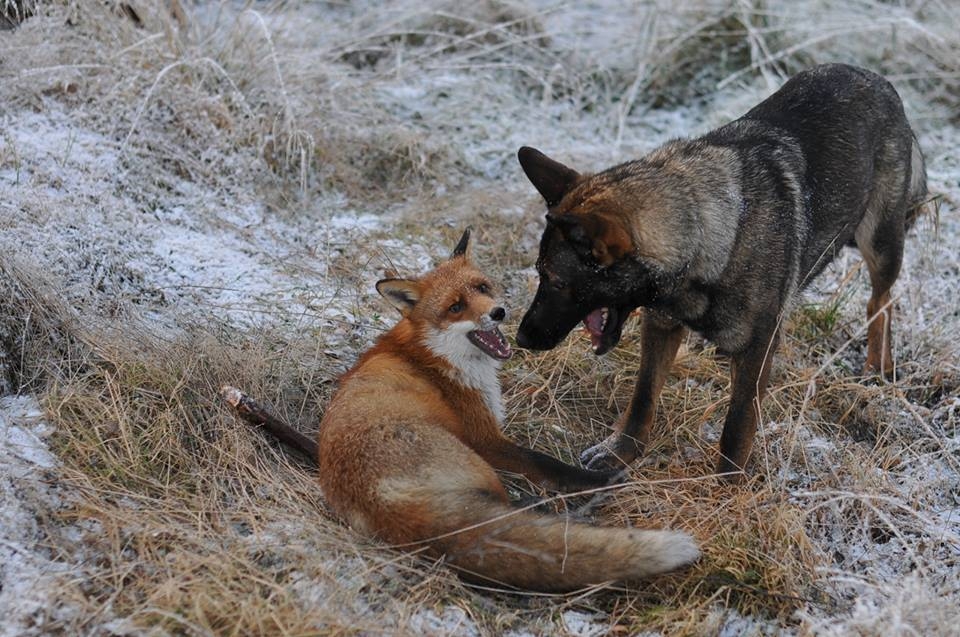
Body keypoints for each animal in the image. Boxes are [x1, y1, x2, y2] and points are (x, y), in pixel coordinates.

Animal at [308, 229, 696, 592]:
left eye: (482, 287)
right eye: (455, 307)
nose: (498, 312)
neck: (433, 356)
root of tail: (383, 504)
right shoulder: (486, 438)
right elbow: (546, 463)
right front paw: (601, 479)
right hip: (479, 464)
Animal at [512, 66, 928, 482]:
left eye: (557, 282)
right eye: (539, 274)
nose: (521, 338)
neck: (706, 236)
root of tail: (873, 76)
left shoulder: (758, 348)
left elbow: (737, 426)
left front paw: (727, 487)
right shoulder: (660, 325)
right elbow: (643, 396)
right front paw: (619, 452)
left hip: (879, 243)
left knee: (881, 300)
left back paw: (876, 368)